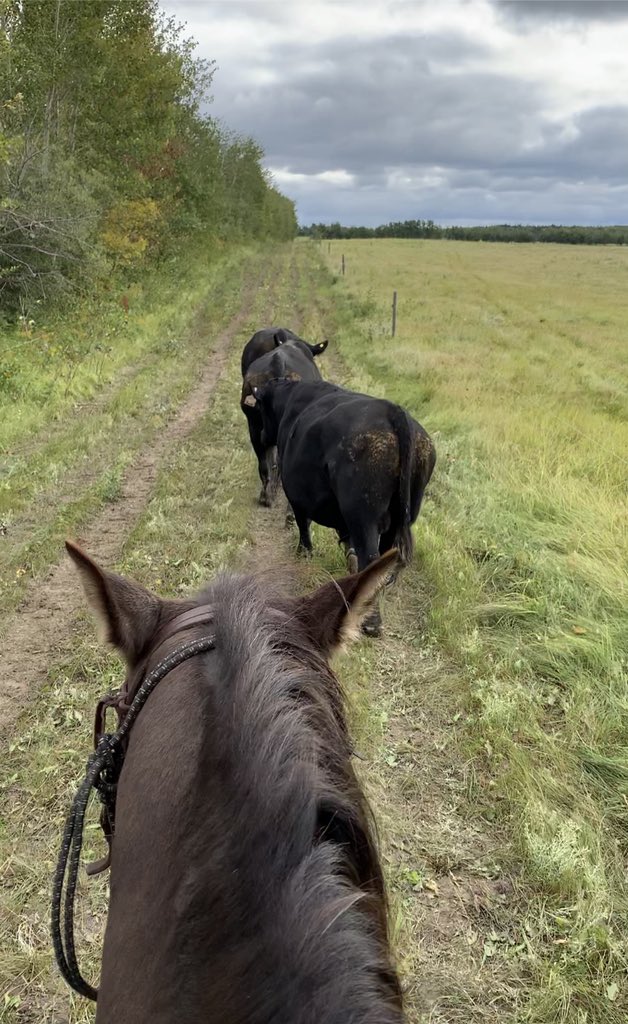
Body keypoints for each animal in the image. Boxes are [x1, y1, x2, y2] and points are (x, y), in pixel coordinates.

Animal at [253, 379, 436, 635]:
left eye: (260, 409)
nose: (260, 435)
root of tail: (391, 411)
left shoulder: (297, 495)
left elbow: (302, 524)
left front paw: (304, 552)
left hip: (363, 517)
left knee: (371, 557)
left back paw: (370, 622)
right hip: (400, 516)